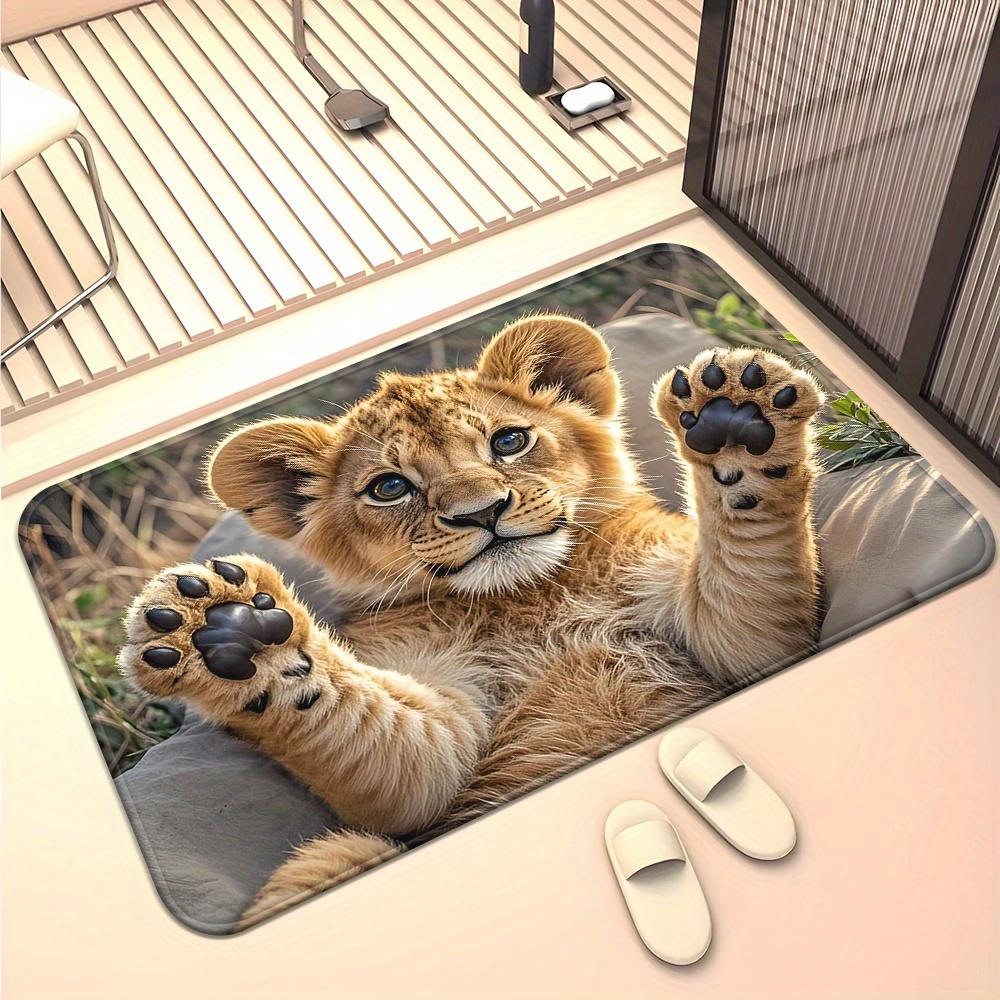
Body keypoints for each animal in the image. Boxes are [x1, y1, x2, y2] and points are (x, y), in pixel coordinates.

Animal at [118, 314, 824, 926]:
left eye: (509, 440)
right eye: (389, 487)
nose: (482, 512)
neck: (528, 597)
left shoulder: (731, 633)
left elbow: (748, 601)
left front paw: (736, 417)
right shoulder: (431, 740)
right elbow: (397, 753)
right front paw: (231, 630)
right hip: (350, 849)